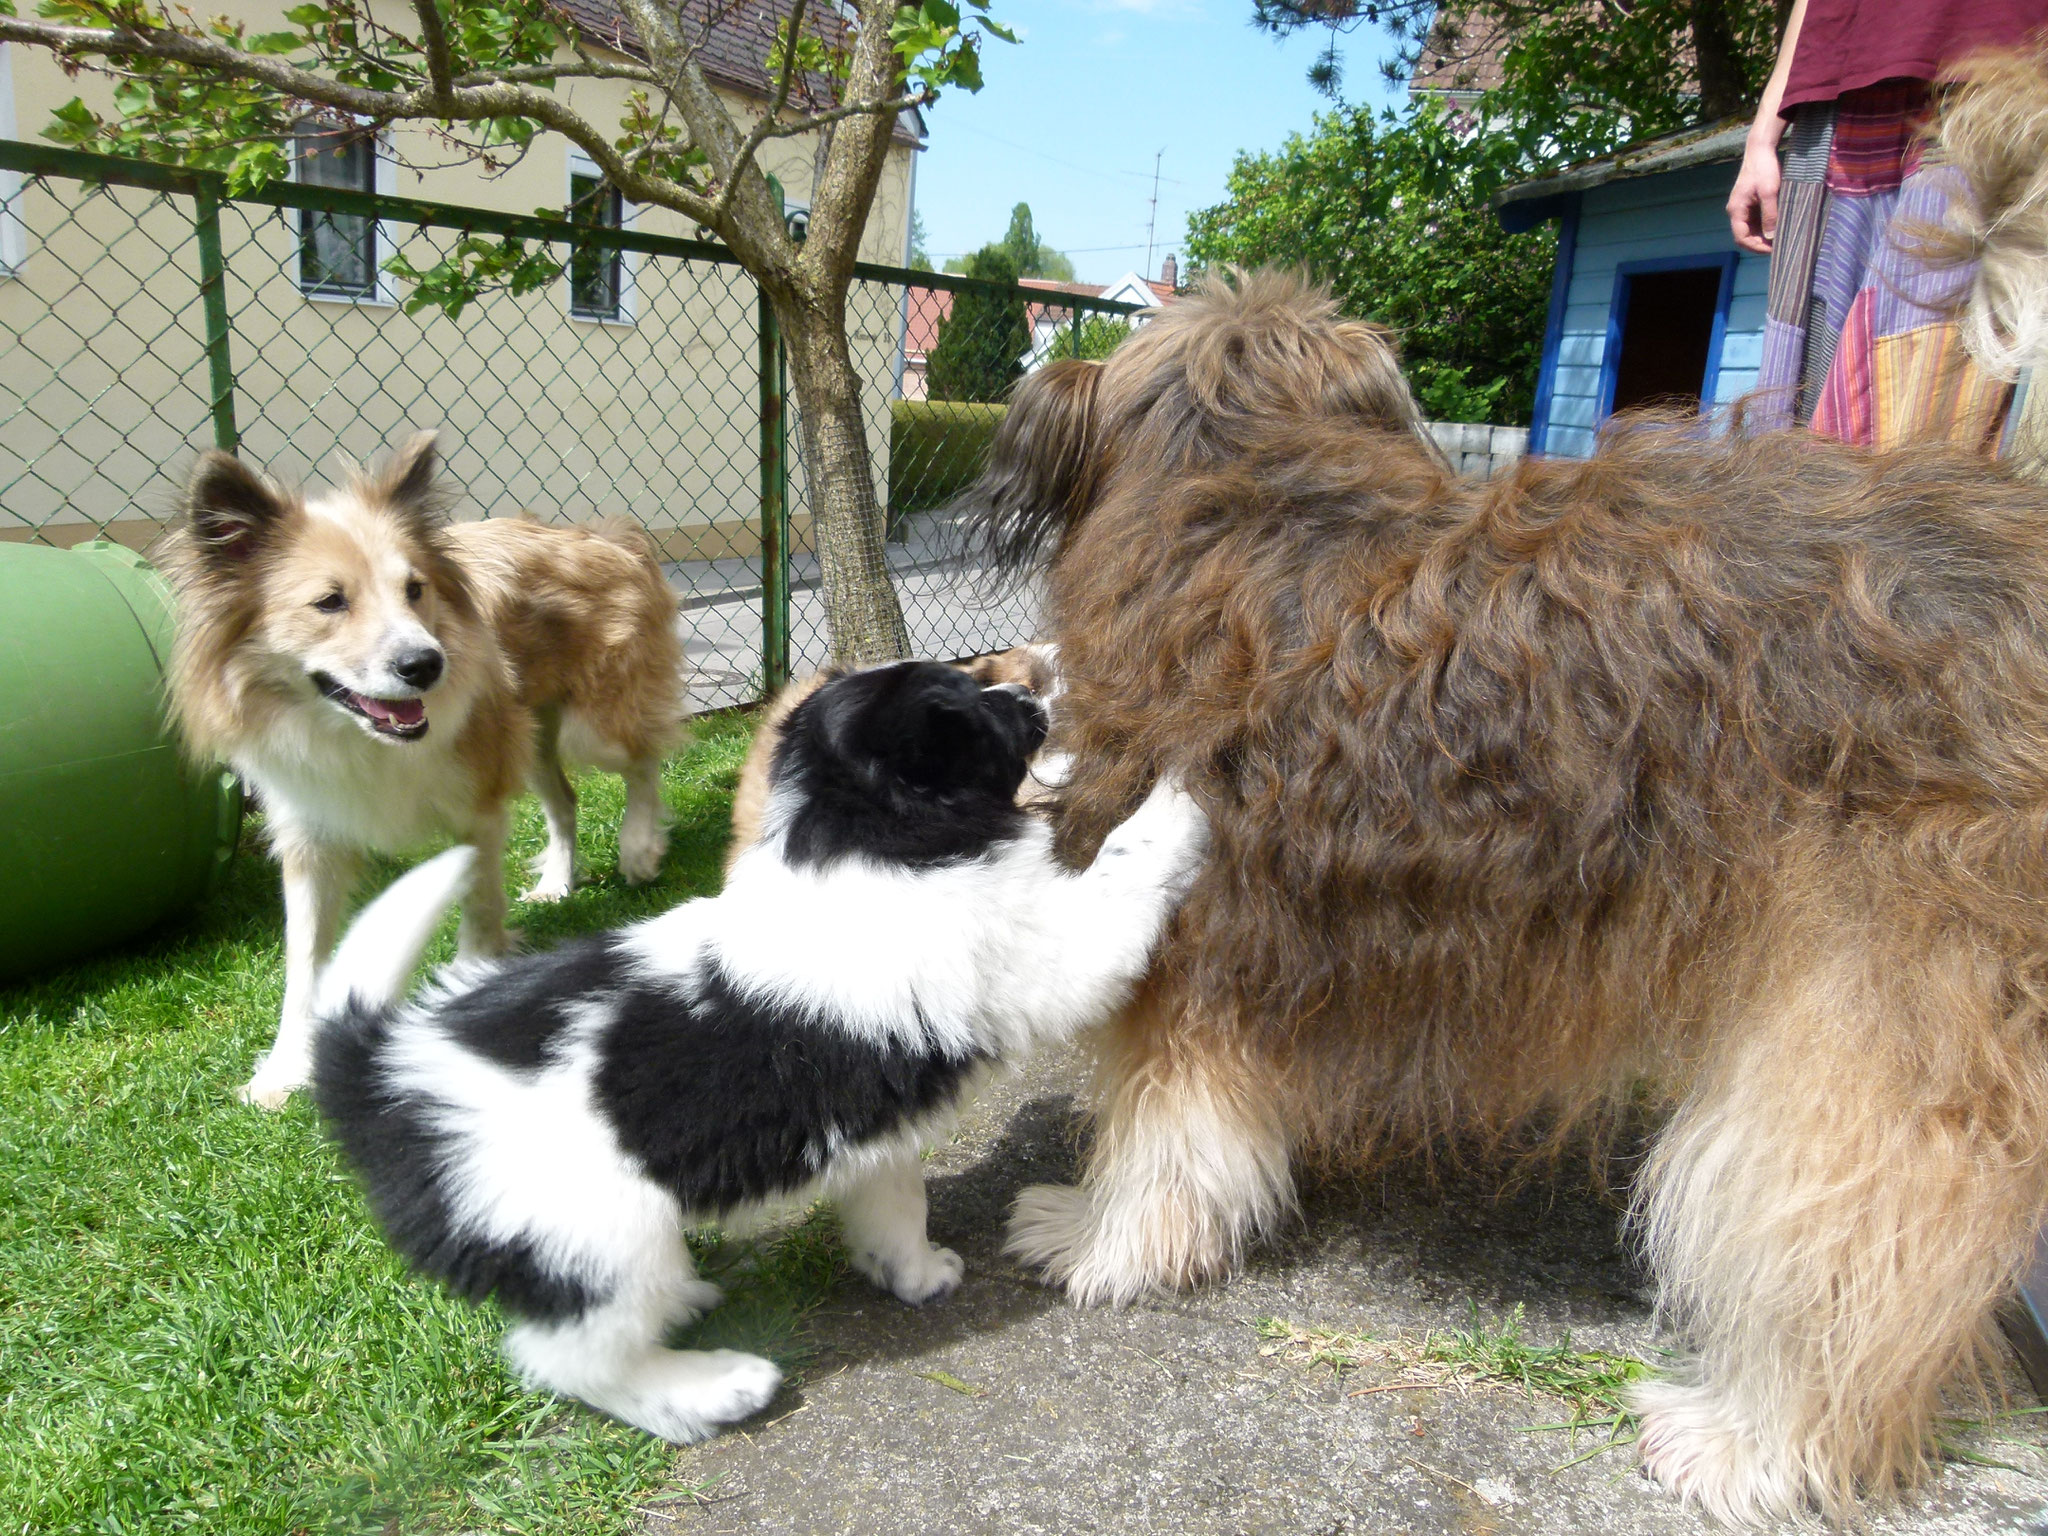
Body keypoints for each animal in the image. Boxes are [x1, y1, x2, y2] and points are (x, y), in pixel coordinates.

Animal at [159, 434, 688, 1105]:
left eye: (415, 589)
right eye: (329, 602)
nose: (426, 665)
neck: (361, 737)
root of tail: (604, 533)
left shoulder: (477, 810)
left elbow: (480, 913)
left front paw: (469, 987)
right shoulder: (311, 836)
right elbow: (302, 965)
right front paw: (283, 1070)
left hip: (591, 727)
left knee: (643, 759)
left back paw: (640, 847)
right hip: (528, 737)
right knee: (565, 799)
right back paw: (556, 882)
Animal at [309, 663, 1204, 1441]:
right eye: (972, 702)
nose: (1034, 694)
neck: (862, 837)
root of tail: (386, 1071)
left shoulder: (871, 1133)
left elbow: (895, 1206)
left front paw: (913, 1275)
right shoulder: (1051, 952)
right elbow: (1124, 867)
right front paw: (1181, 788)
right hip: (596, 1237)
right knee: (572, 1359)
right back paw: (713, 1388)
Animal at [954, 256, 2048, 1531]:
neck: (1249, 490)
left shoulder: (1190, 944)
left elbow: (1160, 1132)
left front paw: (1098, 1237)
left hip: (1878, 997)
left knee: (1850, 1229)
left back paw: (1751, 1439)